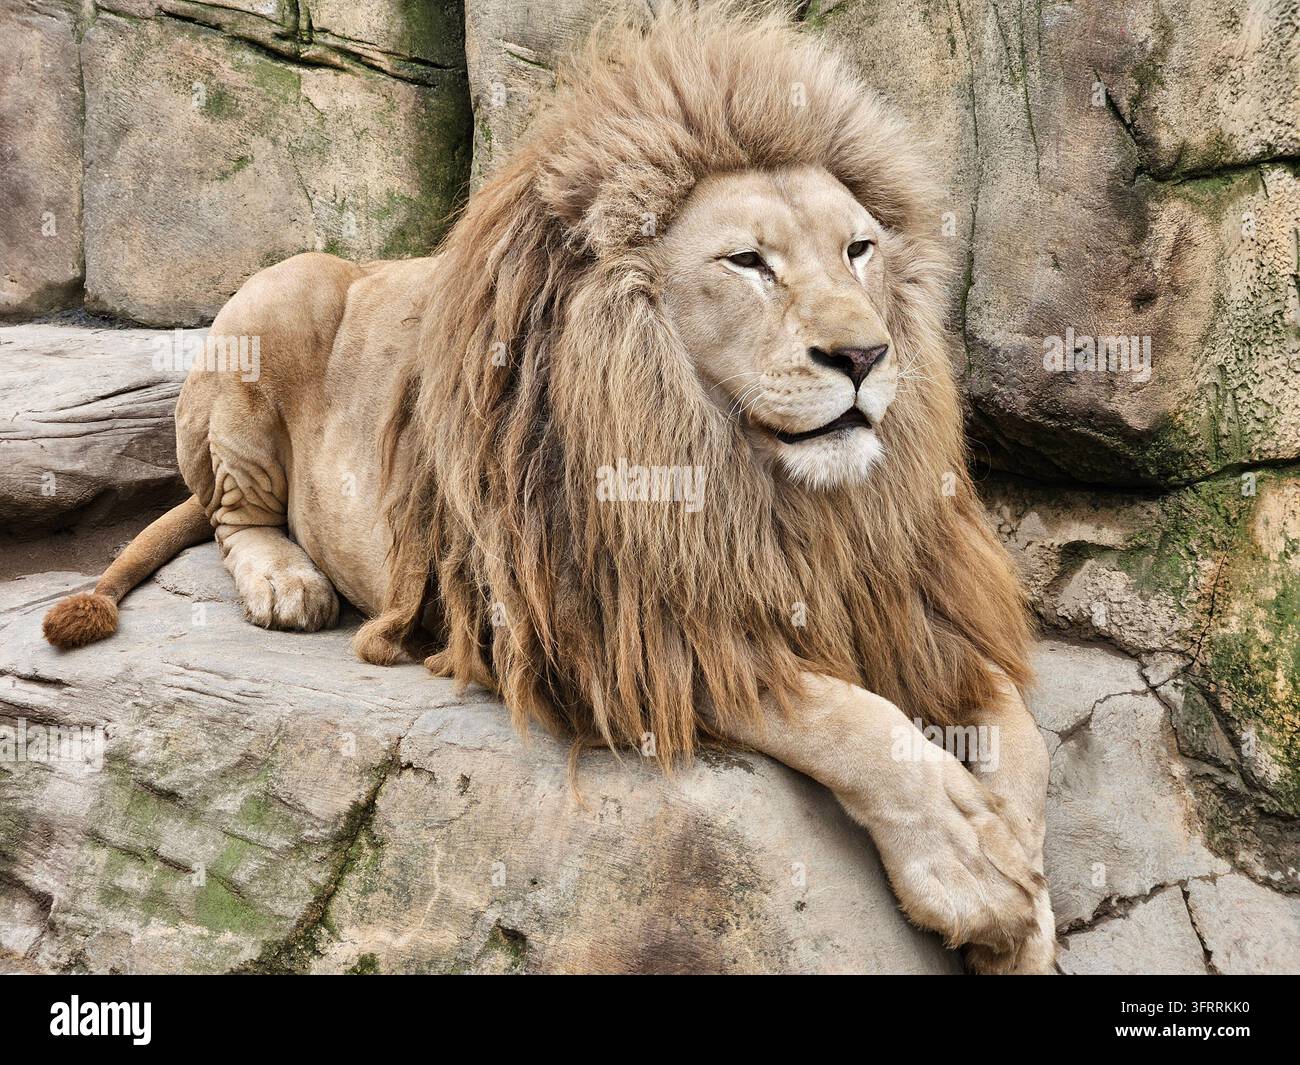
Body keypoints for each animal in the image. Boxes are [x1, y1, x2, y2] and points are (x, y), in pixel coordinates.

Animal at [42, 3, 1055, 973]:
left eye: (859, 250)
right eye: (747, 262)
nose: (865, 355)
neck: (760, 487)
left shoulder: (911, 608)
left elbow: (1023, 744)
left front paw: (1026, 900)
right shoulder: (610, 630)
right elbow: (844, 716)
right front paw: (971, 871)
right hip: (274, 305)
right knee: (232, 513)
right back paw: (286, 583)